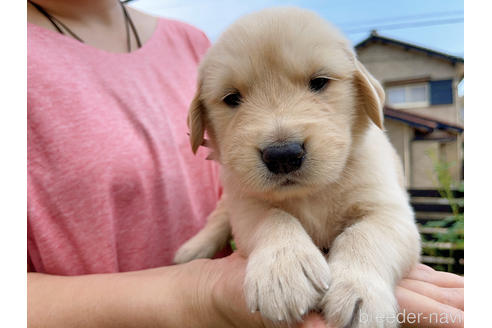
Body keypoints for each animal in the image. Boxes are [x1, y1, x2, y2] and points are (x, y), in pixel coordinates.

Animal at [175, 6, 420, 326]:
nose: (282, 156)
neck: (310, 193)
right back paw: (193, 248)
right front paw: (283, 274)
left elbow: (364, 235)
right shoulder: (245, 203)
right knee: (218, 217)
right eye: (232, 98)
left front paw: (359, 292)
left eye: (319, 82)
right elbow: (273, 217)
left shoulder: (389, 210)